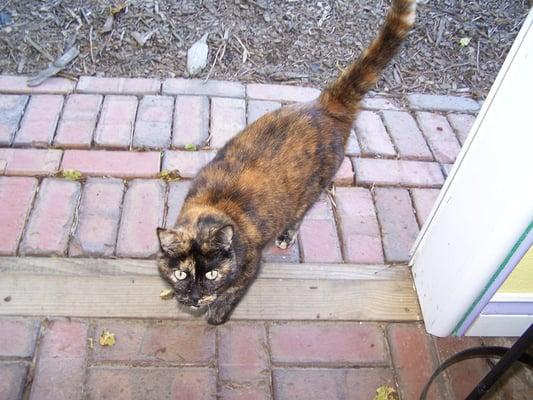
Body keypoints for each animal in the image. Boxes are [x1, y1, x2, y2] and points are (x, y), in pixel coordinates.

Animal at [157, 0, 416, 324]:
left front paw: (217, 314)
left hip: (313, 186)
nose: (193, 298)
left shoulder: (250, 263)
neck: (212, 209)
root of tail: (322, 106)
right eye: (181, 274)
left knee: (301, 210)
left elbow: (232, 292)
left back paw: (287, 233)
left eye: (212, 274)